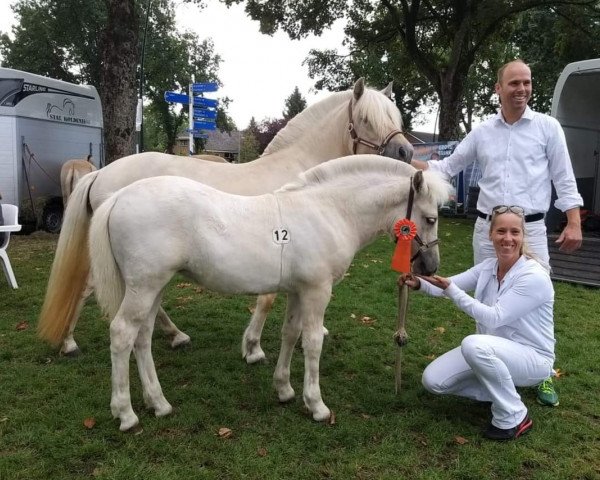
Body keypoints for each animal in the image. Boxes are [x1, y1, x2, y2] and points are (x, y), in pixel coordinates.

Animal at [36, 79, 412, 356]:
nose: (406, 152)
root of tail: (100, 173)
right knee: (89, 289)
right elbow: (266, 299)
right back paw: (70, 342)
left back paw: (175, 335)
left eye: (395, 118)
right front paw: (253, 347)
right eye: (366, 119)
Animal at [85, 156, 450, 430]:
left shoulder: (297, 291)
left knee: (143, 337)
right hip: (144, 287)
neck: (329, 210)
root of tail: (118, 197)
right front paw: (316, 405)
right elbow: (312, 342)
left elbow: (290, 334)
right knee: (122, 334)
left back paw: (158, 403)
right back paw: (126, 413)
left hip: (154, 288)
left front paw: (284, 389)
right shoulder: (317, 291)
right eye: (430, 218)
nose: (430, 267)